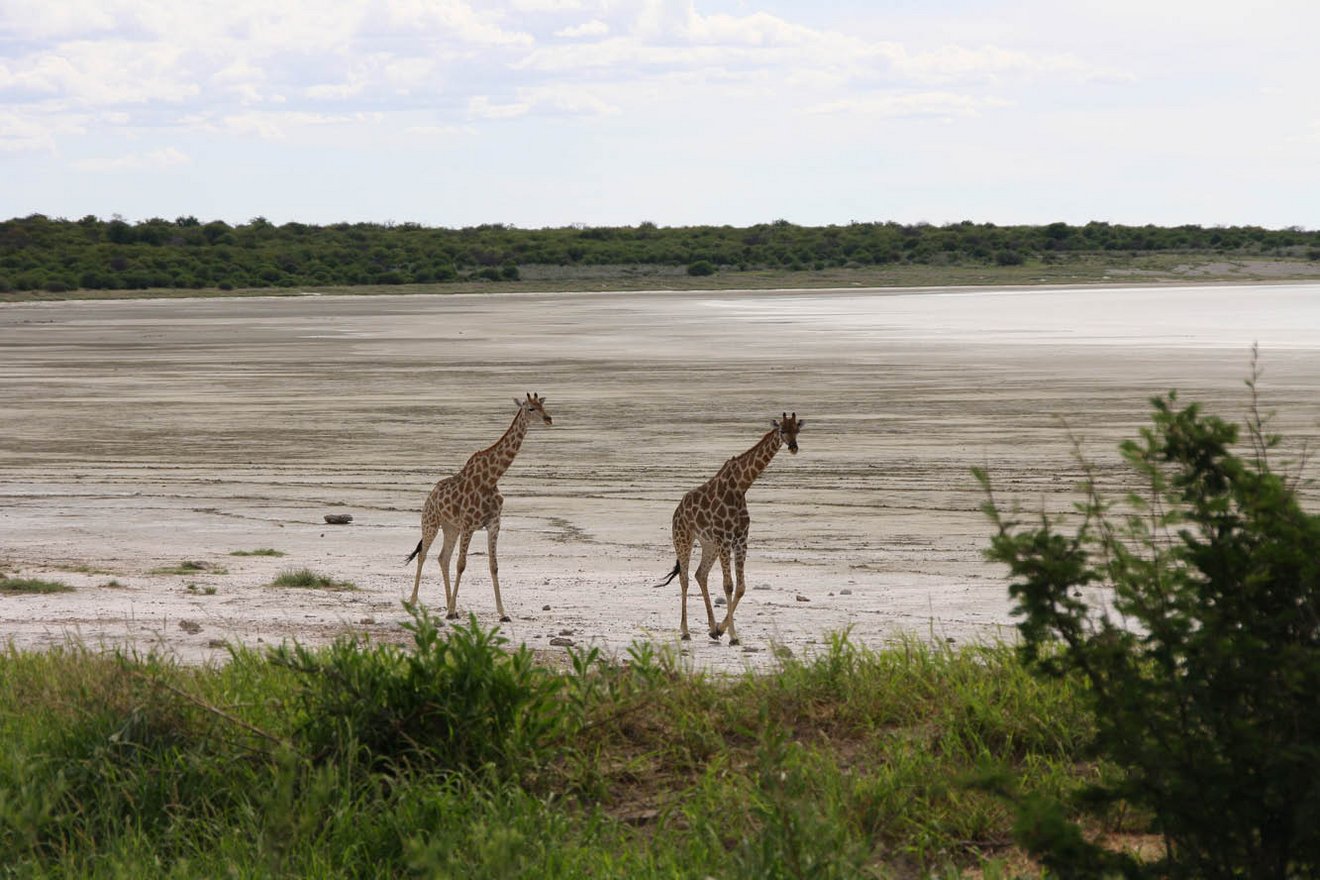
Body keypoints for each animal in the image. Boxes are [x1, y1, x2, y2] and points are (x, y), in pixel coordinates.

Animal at [398, 393, 549, 620]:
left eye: (543, 406)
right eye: (531, 408)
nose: (549, 419)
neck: (491, 478)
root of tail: (430, 496)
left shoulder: (494, 524)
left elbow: (493, 566)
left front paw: (502, 613)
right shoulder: (469, 524)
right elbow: (462, 565)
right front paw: (451, 610)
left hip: (451, 528)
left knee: (443, 558)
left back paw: (450, 605)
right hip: (431, 522)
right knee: (423, 555)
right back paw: (415, 602)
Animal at [660, 414, 802, 646]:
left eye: (797, 430)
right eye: (782, 430)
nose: (793, 447)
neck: (741, 486)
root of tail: (677, 510)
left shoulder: (741, 539)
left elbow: (741, 587)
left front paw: (720, 629)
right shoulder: (725, 538)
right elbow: (728, 585)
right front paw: (733, 635)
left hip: (709, 544)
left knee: (700, 574)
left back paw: (711, 627)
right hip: (683, 538)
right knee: (685, 578)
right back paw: (685, 631)